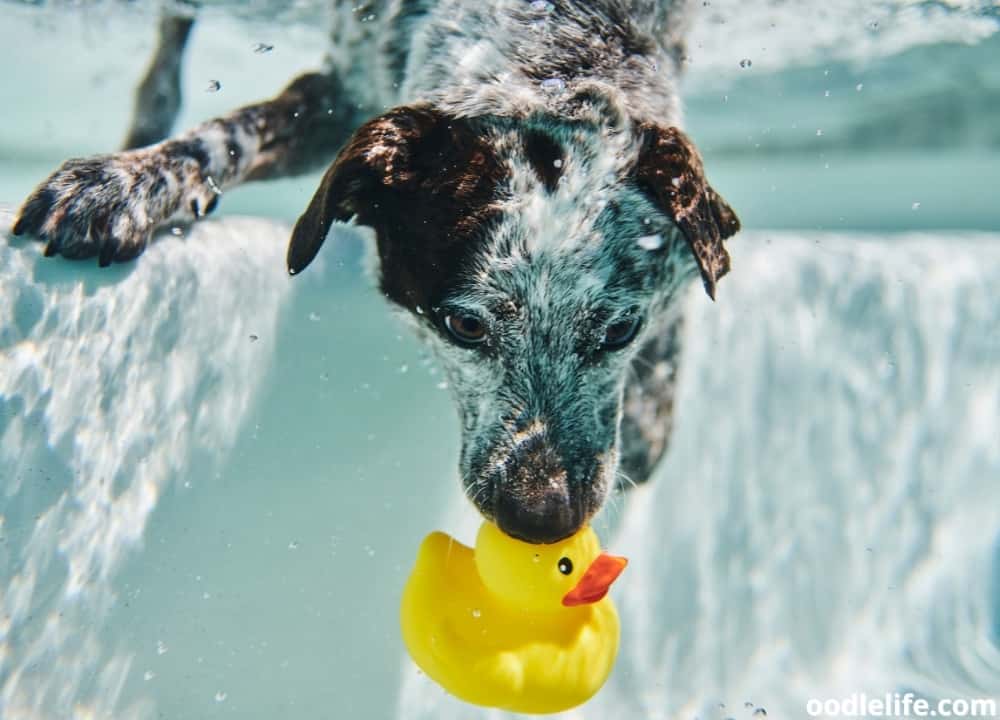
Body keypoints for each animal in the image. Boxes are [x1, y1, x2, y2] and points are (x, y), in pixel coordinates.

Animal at [11, 0, 740, 540]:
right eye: (463, 326)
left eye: (619, 330)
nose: (542, 517)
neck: (552, 48)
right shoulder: (342, 81)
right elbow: (230, 134)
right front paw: (125, 181)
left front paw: (650, 406)